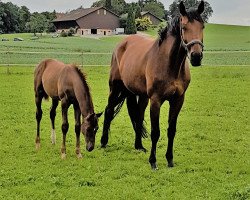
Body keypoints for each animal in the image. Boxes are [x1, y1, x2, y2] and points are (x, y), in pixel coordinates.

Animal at [101, 0, 205, 170]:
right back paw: (103, 142)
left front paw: (170, 159)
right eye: (184, 27)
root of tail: (122, 44)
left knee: (138, 116)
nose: (196, 56)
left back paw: (139, 146)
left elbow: (171, 130)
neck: (170, 65)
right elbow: (155, 131)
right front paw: (153, 161)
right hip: (115, 88)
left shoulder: (178, 100)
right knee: (109, 111)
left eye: (202, 26)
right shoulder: (156, 100)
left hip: (141, 95)